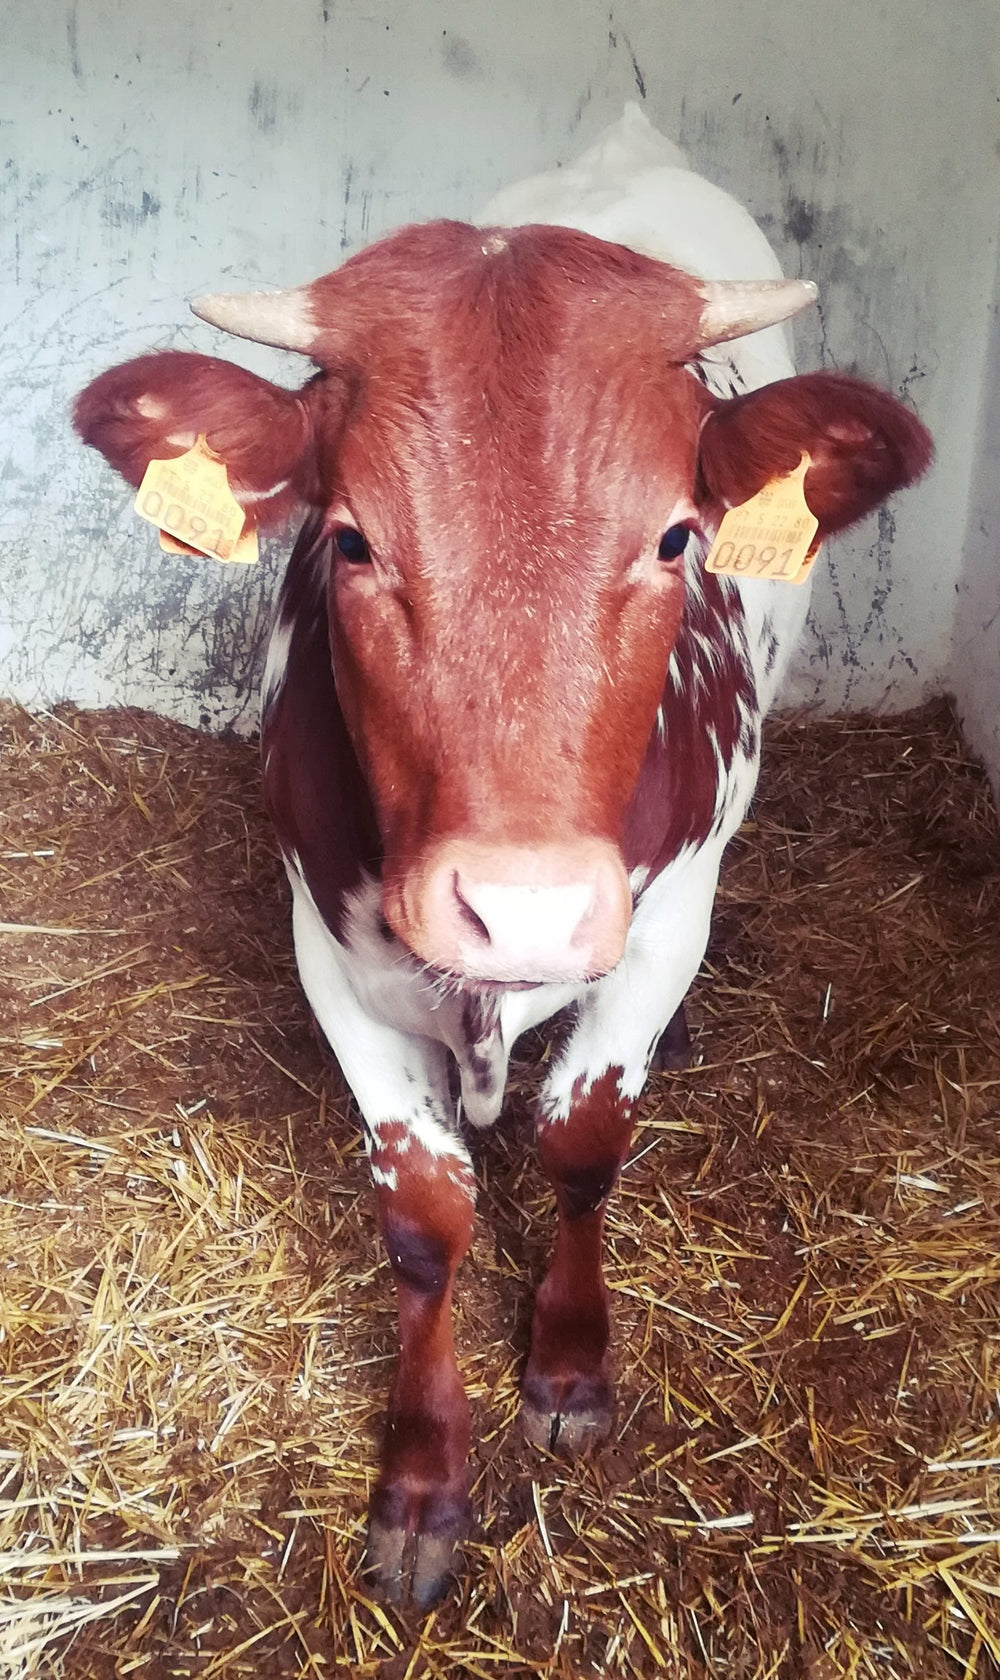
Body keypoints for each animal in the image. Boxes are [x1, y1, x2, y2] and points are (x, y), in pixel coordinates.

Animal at [75, 109, 931, 1606]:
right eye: (350, 537)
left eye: (677, 532)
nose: (522, 907)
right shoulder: (331, 950)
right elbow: (425, 1213)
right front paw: (424, 1476)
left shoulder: (659, 923)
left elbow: (583, 1140)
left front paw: (572, 1367)